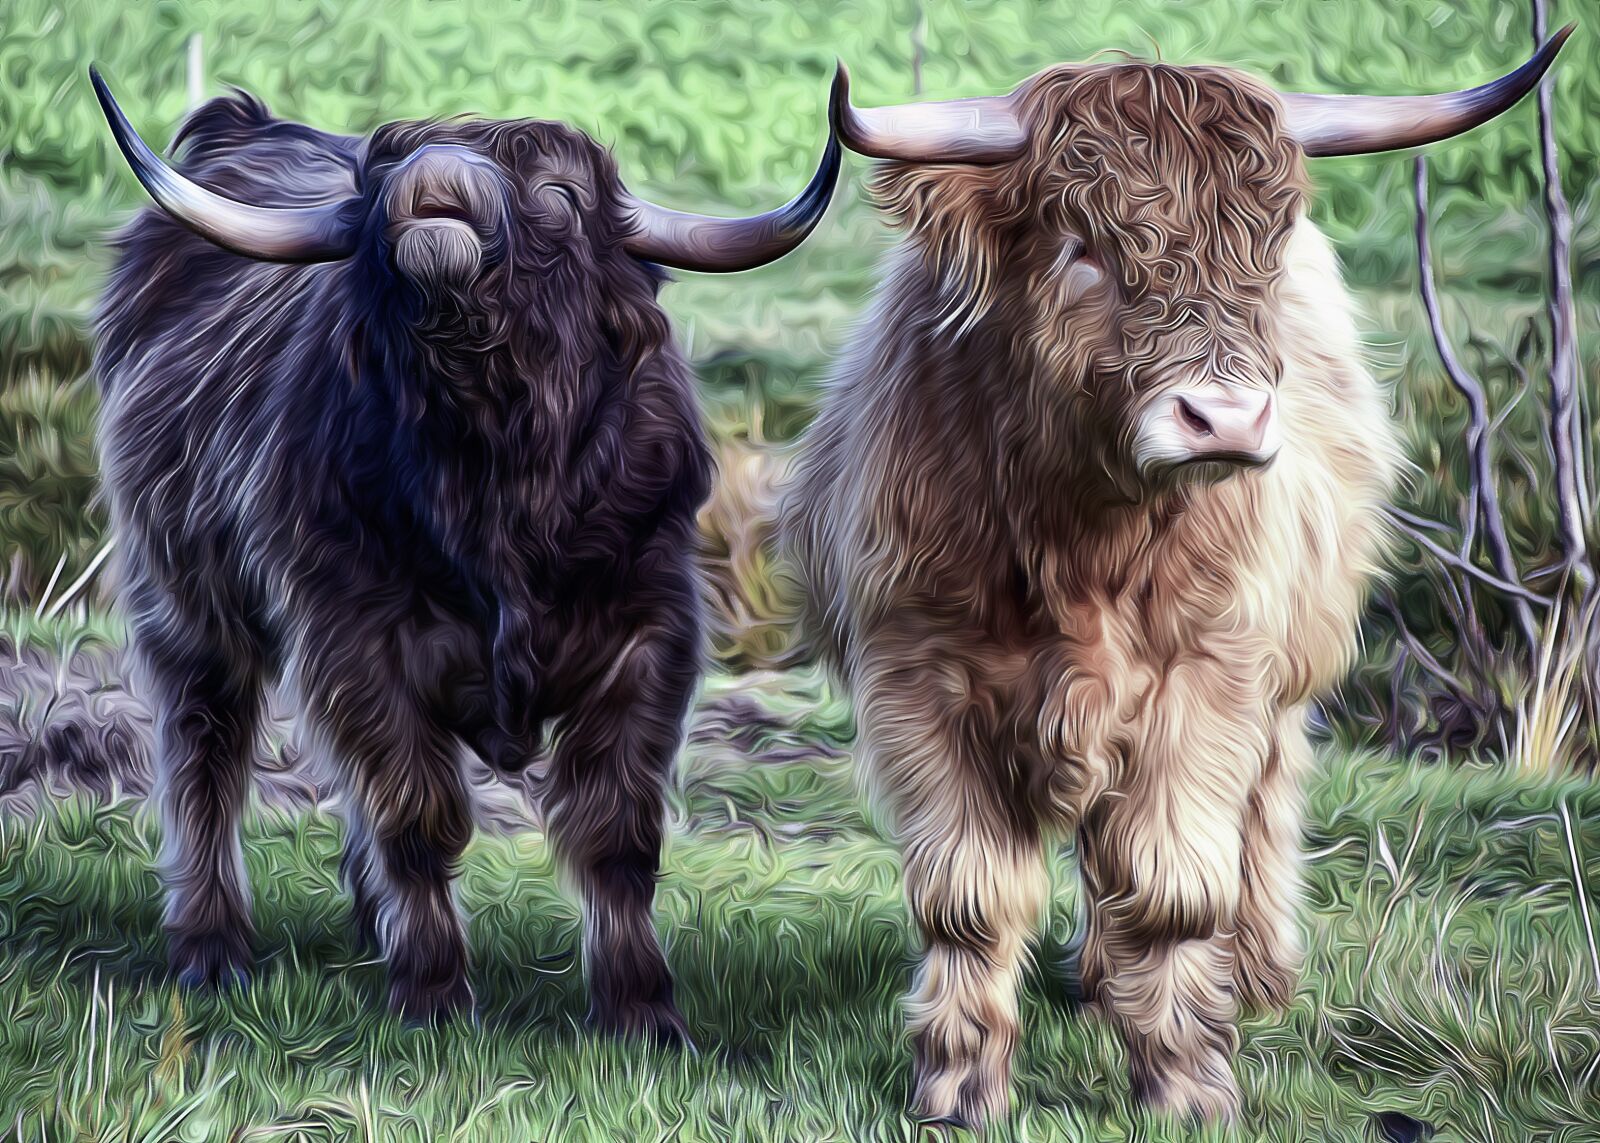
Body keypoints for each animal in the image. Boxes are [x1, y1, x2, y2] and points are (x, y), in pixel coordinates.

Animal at [90, 69, 839, 1037]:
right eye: (384, 174)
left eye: (559, 193)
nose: (435, 178)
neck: (497, 479)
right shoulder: (354, 637)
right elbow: (415, 812)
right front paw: (434, 993)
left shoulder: (651, 636)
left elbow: (617, 829)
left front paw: (642, 1009)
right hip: (182, 597)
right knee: (203, 750)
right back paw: (211, 950)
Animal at [777, 32, 1571, 1126]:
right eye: (1080, 245)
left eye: (1264, 243)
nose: (1224, 420)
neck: (1079, 538)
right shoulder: (917, 679)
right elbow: (967, 899)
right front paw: (957, 1088)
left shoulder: (1207, 675)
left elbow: (1174, 887)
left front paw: (1190, 1087)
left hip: (1284, 679)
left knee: (1262, 810)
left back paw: (1258, 973)